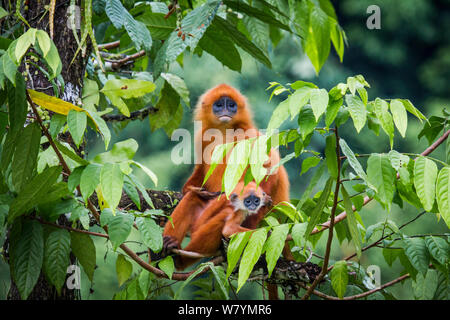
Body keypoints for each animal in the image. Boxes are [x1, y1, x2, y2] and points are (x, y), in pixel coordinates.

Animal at [163, 84, 290, 254]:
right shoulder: (203, 136)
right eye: (219, 105)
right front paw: (190, 188)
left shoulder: (249, 133)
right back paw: (170, 244)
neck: (224, 130)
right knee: (192, 198)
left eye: (231, 105)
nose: (225, 110)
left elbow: (268, 168)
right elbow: (201, 170)